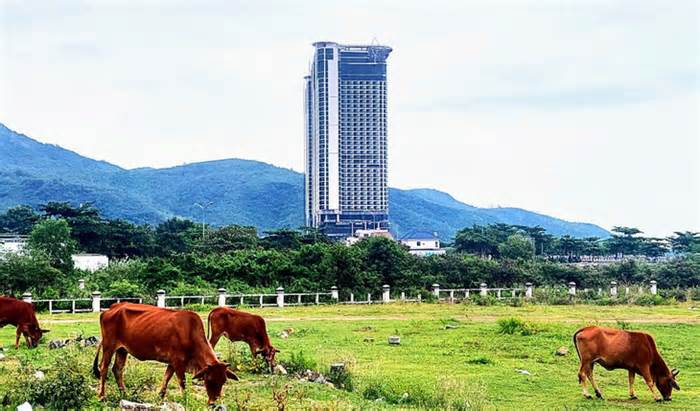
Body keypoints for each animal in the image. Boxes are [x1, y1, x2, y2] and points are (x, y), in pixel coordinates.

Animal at [93, 302, 238, 406]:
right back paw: (102, 396)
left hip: (122, 350)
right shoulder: (178, 362)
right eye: (209, 380)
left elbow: (166, 378)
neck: (190, 332)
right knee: (104, 368)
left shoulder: (172, 362)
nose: (213, 403)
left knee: (117, 369)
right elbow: (182, 382)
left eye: (224, 381)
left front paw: (160, 396)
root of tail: (111, 308)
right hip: (109, 346)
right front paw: (185, 399)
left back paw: (124, 394)